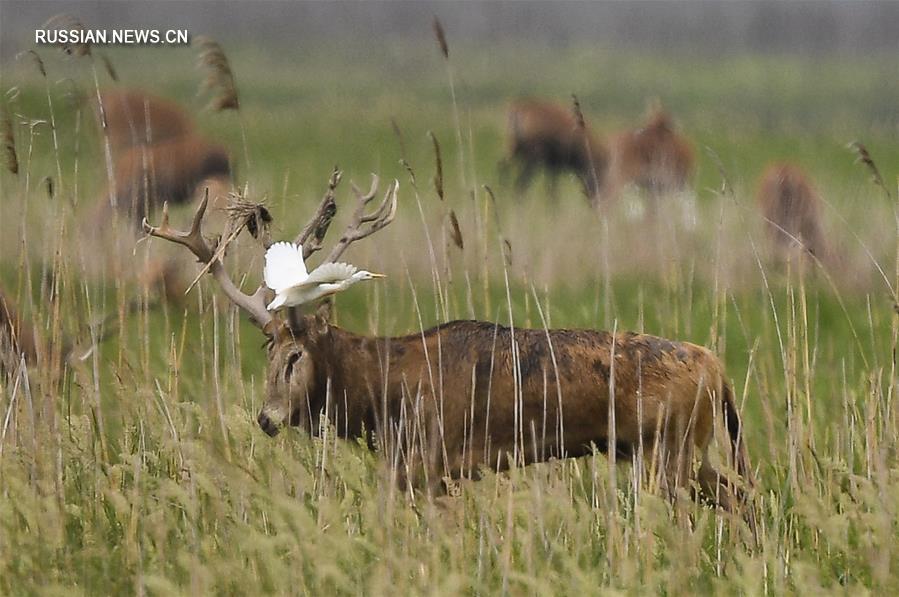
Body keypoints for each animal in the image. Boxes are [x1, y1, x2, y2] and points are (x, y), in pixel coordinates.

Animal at [144, 170, 752, 516]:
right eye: (266, 349)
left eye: (298, 354)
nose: (267, 417)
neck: (386, 397)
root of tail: (717, 368)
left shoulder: (427, 461)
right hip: (680, 449)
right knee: (741, 493)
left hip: (668, 447)